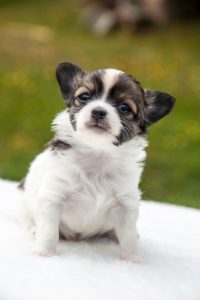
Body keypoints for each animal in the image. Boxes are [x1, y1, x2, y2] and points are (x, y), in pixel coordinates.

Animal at [17, 62, 175, 262]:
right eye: (84, 97)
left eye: (124, 108)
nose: (98, 111)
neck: (98, 154)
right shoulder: (53, 197)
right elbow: (49, 230)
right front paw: (44, 253)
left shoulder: (126, 205)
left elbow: (129, 236)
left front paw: (132, 259)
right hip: (24, 201)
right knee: (28, 218)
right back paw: (33, 229)